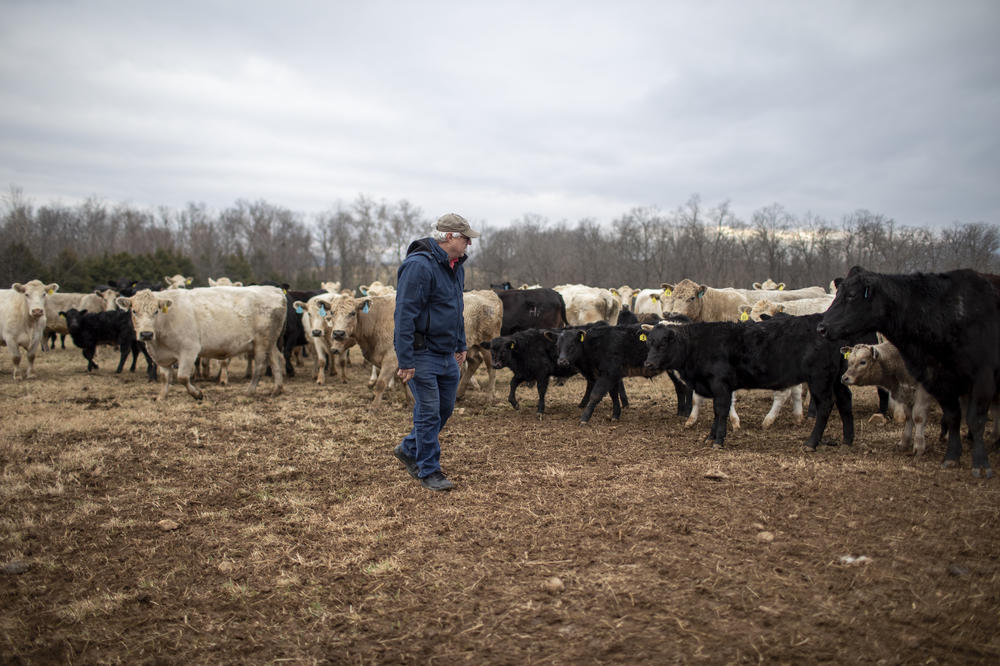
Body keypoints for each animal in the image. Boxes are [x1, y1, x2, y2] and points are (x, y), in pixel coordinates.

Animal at [119, 286, 290, 400]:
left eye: (156, 311)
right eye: (134, 311)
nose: (146, 334)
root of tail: (275, 290)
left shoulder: (189, 350)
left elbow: (182, 377)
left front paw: (197, 394)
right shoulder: (162, 357)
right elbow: (165, 378)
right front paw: (161, 397)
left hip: (262, 341)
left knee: (260, 366)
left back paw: (249, 392)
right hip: (270, 342)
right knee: (276, 360)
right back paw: (277, 390)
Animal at [648, 314, 852, 448]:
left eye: (663, 343)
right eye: (649, 342)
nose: (648, 363)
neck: (699, 344)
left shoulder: (720, 385)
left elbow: (721, 410)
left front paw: (718, 440)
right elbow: (716, 411)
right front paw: (710, 436)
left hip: (820, 379)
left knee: (825, 405)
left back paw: (811, 442)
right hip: (837, 379)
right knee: (844, 400)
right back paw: (848, 440)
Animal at [820, 266, 1000, 478]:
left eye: (852, 295)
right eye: (838, 293)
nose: (821, 327)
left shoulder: (982, 378)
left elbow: (974, 419)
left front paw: (980, 463)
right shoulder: (938, 380)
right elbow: (952, 416)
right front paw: (951, 456)